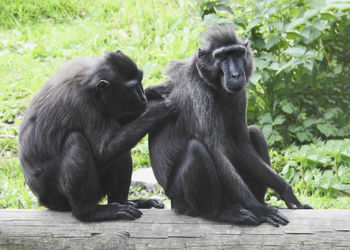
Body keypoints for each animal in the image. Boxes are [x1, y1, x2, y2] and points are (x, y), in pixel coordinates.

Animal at [19, 50, 175, 221]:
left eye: (141, 80)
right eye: (133, 88)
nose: (142, 97)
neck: (89, 84)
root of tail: (43, 200)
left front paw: (153, 92)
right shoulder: (83, 104)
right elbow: (103, 153)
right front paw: (158, 110)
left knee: (121, 152)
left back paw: (123, 201)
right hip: (59, 198)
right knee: (76, 140)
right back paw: (88, 212)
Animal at [145, 25, 312, 227]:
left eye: (238, 53)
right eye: (223, 56)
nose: (236, 75)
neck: (213, 85)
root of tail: (173, 202)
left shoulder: (240, 95)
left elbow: (243, 147)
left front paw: (288, 194)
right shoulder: (198, 94)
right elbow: (216, 152)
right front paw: (259, 209)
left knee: (255, 132)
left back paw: (261, 201)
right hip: (181, 199)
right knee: (196, 150)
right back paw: (221, 214)